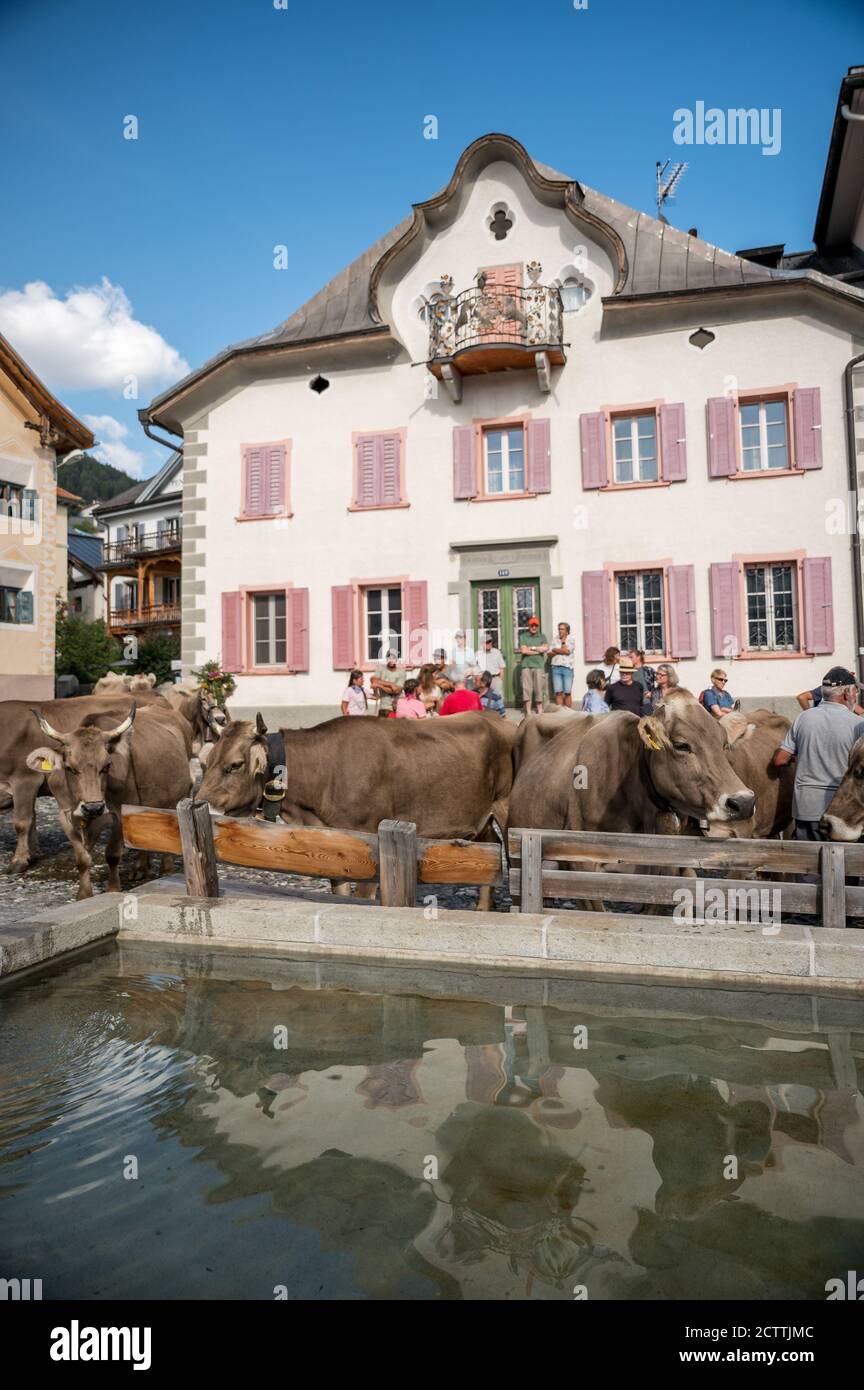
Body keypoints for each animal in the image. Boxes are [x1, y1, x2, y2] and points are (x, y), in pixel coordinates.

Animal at [26, 700, 193, 895]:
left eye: (107, 765)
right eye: (69, 767)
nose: (93, 807)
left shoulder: (120, 812)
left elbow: (112, 854)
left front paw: (113, 888)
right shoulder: (64, 814)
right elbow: (82, 858)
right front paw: (84, 895)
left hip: (174, 797)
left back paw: (166, 869)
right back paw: (140, 868)